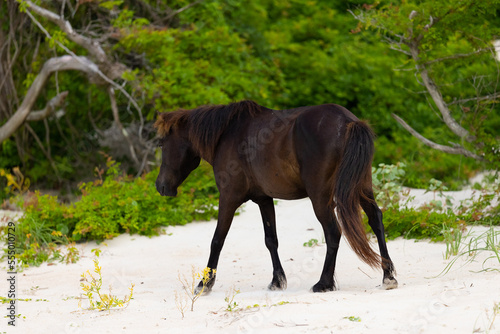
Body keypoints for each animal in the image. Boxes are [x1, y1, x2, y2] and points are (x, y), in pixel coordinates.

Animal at [154, 100, 396, 294]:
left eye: (162, 144)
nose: (160, 185)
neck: (227, 133)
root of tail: (348, 122)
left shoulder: (228, 198)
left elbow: (217, 240)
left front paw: (205, 283)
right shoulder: (264, 199)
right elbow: (271, 240)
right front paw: (277, 280)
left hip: (321, 198)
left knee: (333, 232)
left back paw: (324, 283)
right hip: (361, 188)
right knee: (376, 220)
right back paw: (388, 276)